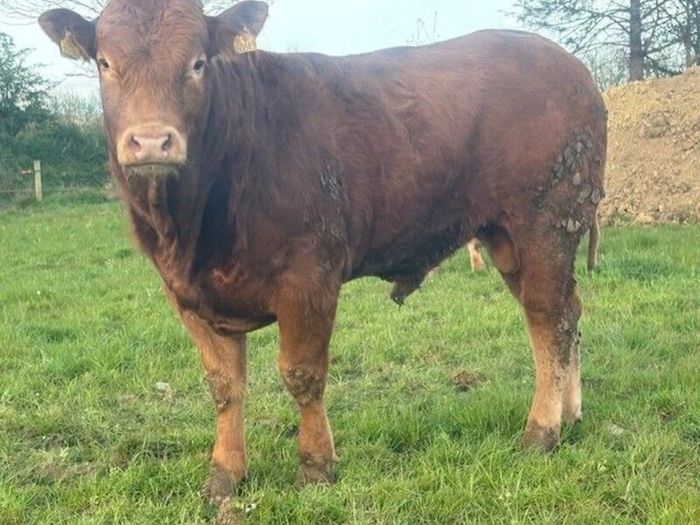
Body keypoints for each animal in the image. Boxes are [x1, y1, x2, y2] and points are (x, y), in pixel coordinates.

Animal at [39, 0, 607, 503]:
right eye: (105, 63)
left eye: (197, 63)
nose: (153, 141)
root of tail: (572, 66)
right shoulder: (187, 295)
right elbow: (224, 385)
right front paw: (225, 473)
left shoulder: (309, 276)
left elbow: (302, 374)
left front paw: (315, 466)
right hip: (509, 241)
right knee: (566, 312)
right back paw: (571, 413)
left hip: (545, 224)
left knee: (549, 321)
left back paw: (541, 431)